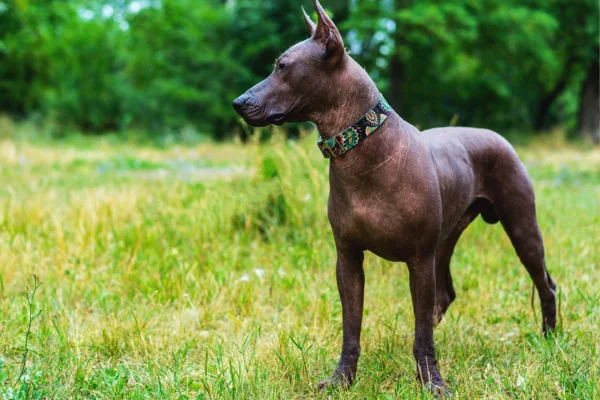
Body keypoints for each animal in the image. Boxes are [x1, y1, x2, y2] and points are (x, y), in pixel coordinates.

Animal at [231, 0, 556, 394]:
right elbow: (351, 329)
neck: (361, 150)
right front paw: (343, 379)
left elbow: (421, 333)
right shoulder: (348, 261)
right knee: (443, 298)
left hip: (520, 226)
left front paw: (432, 382)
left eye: (282, 66)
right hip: (445, 242)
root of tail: (497, 135)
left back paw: (549, 339)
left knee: (545, 284)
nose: (238, 102)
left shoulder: (418, 260)